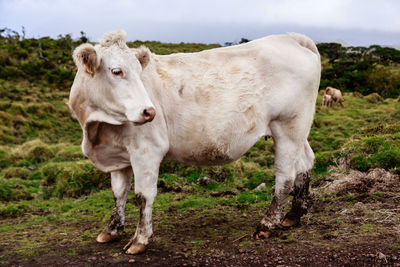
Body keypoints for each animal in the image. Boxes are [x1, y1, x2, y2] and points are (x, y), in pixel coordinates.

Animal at [67, 30, 320, 254]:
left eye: (140, 73)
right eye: (116, 71)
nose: (149, 111)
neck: (97, 130)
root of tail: (288, 38)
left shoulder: (147, 151)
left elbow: (142, 196)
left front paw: (140, 239)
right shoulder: (118, 155)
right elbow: (118, 193)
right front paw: (110, 230)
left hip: (287, 126)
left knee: (285, 177)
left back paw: (266, 224)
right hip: (298, 130)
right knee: (305, 162)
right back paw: (293, 215)